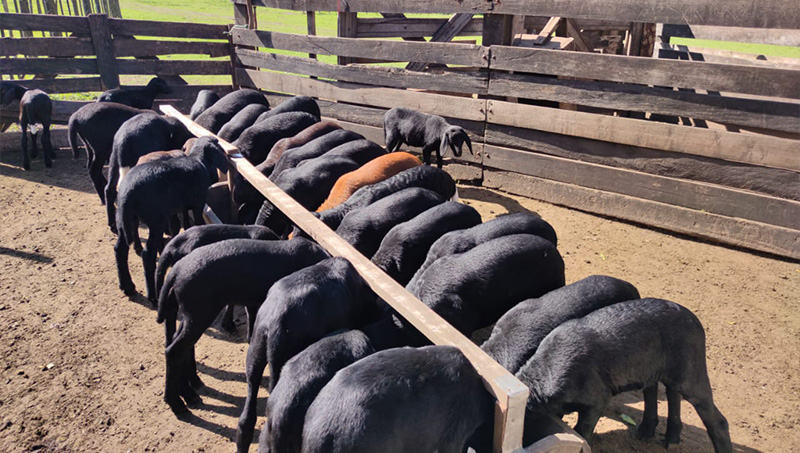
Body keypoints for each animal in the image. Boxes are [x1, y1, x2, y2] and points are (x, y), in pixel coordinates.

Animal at [114, 137, 229, 301]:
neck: (197, 159)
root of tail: (128, 192)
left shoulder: (182, 205)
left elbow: (183, 225)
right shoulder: (198, 203)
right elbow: (197, 222)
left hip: (125, 217)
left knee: (120, 249)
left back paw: (127, 287)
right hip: (156, 220)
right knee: (147, 254)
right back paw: (152, 295)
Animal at [157, 238, 329, 414]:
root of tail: (176, 271)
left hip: (192, 315)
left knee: (180, 344)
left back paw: (190, 390)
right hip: (199, 313)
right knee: (175, 351)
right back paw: (177, 403)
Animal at [516, 298, 732, 452]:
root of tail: (697, 323)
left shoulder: (597, 400)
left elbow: (582, 429)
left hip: (690, 370)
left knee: (716, 418)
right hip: (656, 369)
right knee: (662, 392)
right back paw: (658, 435)